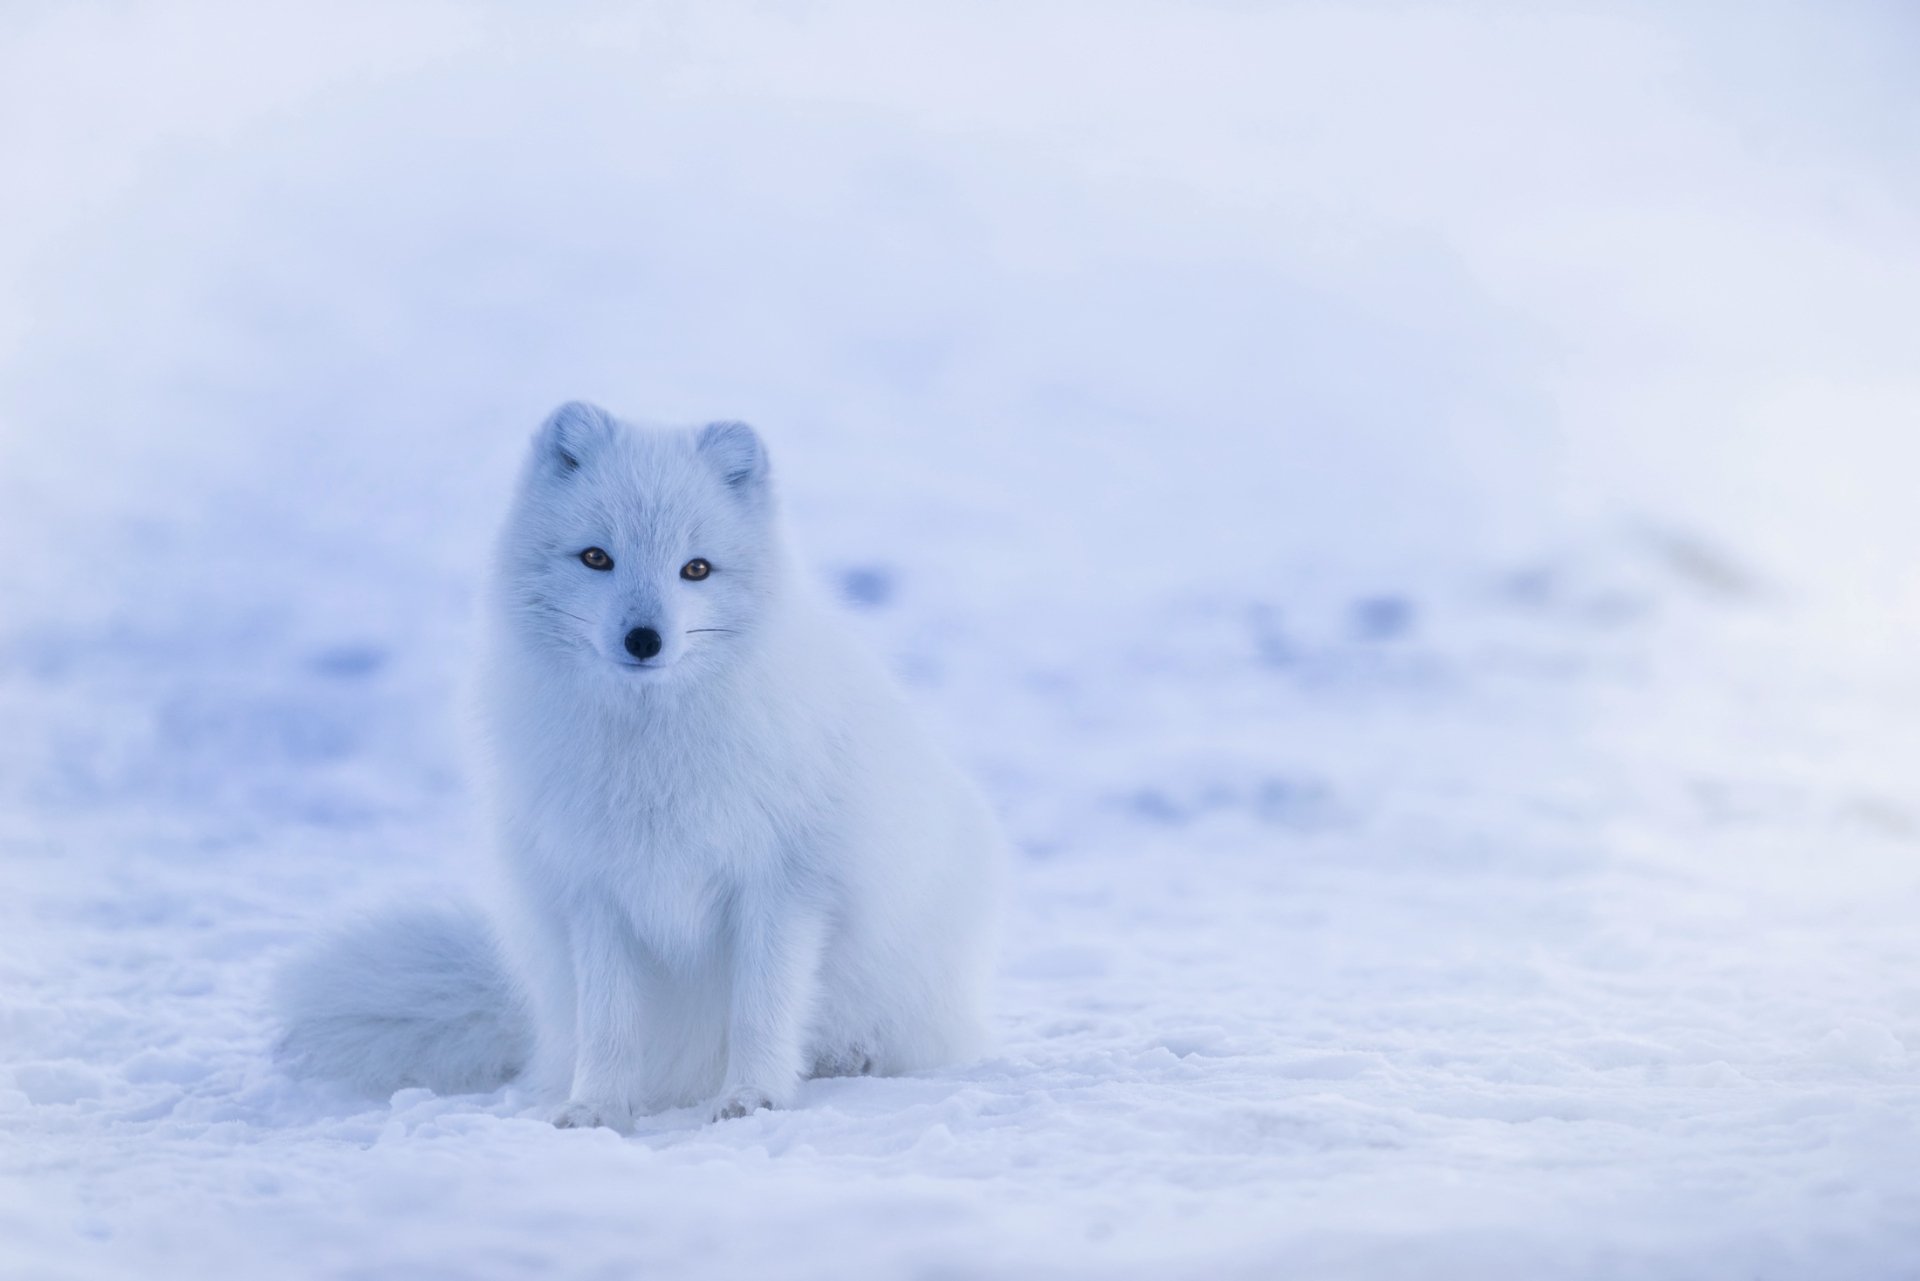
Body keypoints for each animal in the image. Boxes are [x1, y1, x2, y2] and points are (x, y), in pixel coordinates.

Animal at [275, 403, 1005, 1128]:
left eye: (697, 569)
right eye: (597, 557)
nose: (644, 639)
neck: (651, 753)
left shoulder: (783, 884)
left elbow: (762, 1008)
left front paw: (753, 1097)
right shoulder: (596, 890)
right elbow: (609, 1024)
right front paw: (595, 1107)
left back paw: (850, 1057)